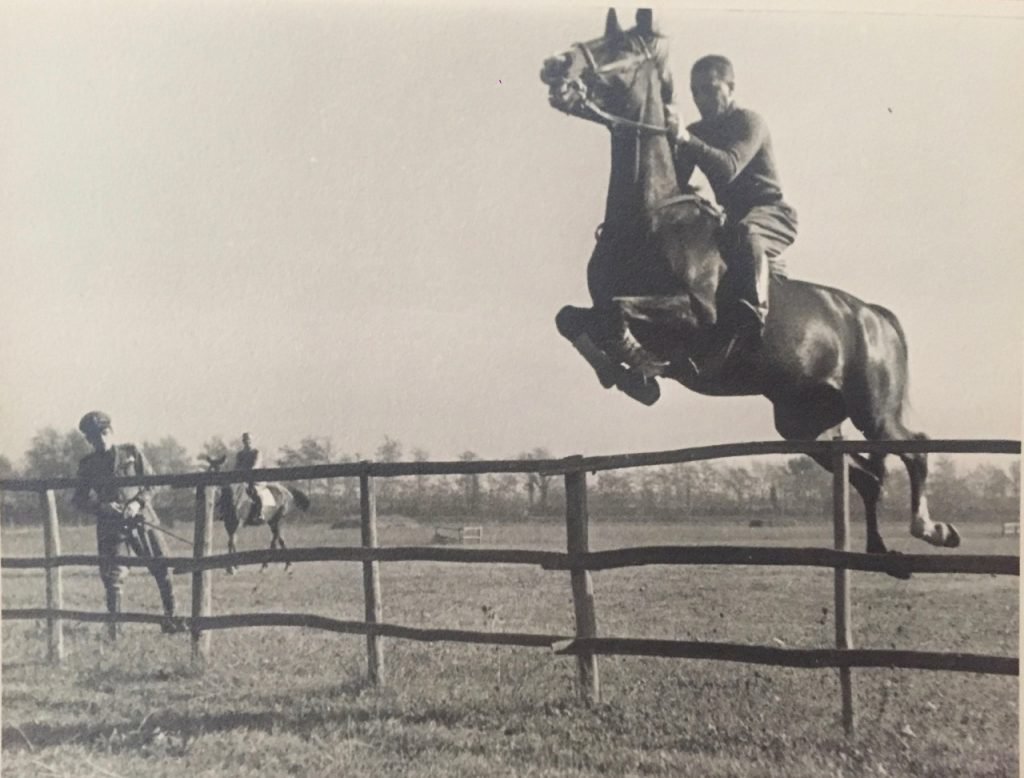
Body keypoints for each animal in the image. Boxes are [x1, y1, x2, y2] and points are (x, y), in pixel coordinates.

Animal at [540, 7, 962, 565]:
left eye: (620, 49)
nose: (553, 66)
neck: (648, 217)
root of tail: (874, 315)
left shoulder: (696, 315)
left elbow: (617, 311)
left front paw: (639, 369)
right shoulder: (597, 306)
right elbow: (573, 318)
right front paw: (625, 373)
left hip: (873, 409)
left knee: (914, 446)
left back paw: (933, 529)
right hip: (804, 423)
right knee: (867, 476)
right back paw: (879, 552)